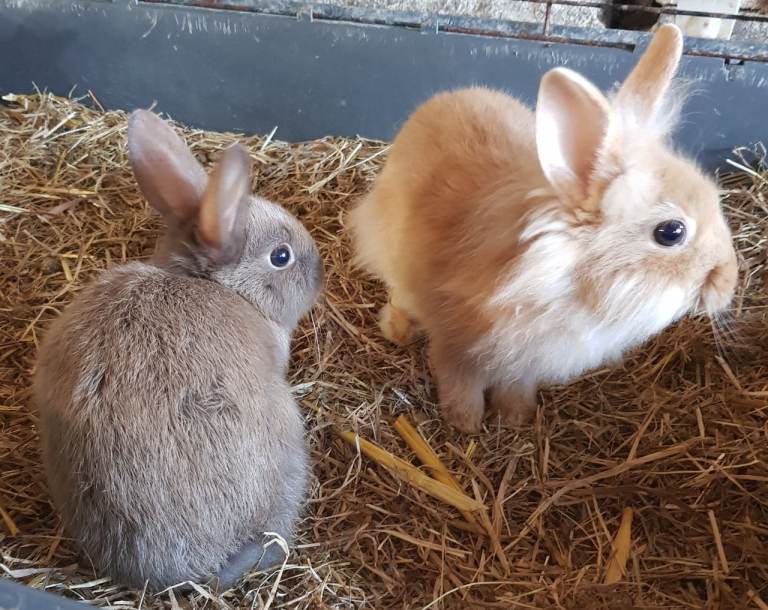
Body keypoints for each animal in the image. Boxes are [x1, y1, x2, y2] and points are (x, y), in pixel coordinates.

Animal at [348, 24, 737, 433]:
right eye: (671, 232)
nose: (728, 283)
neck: (564, 282)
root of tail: (446, 96)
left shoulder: (526, 362)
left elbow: (516, 385)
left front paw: (515, 417)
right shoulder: (456, 343)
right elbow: (458, 380)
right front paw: (465, 422)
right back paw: (397, 330)